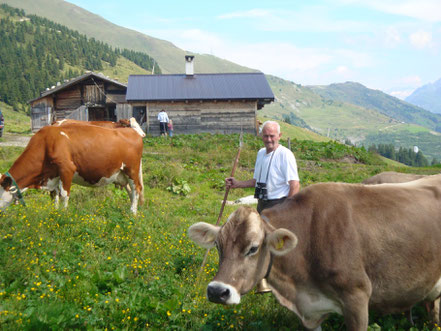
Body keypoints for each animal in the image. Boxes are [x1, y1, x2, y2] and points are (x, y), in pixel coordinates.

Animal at [0, 124, 144, 215]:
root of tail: (133, 132)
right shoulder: (54, 175)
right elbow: (54, 195)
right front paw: (55, 212)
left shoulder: (67, 169)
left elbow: (64, 195)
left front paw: (64, 215)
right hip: (121, 174)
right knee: (130, 191)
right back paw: (132, 209)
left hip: (131, 170)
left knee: (136, 189)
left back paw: (133, 212)